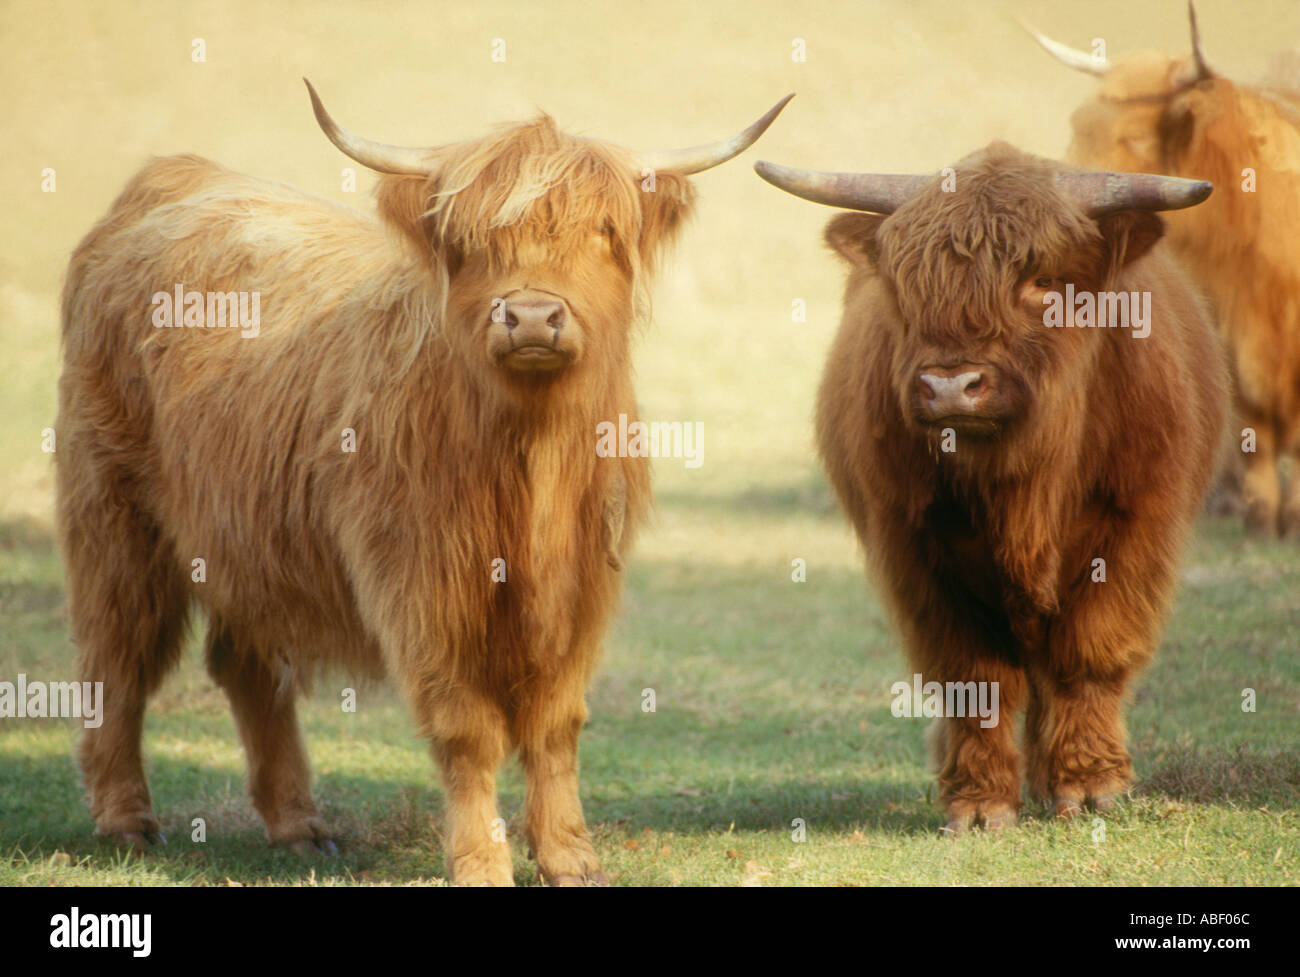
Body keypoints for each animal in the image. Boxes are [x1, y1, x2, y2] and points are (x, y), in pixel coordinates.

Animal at [58, 80, 790, 883]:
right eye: (470, 243)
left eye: (602, 229)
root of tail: (179, 178)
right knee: (116, 657)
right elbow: (467, 730)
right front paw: (481, 861)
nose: (531, 315)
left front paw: (571, 856)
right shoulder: (421, 585)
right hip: (114, 513)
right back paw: (126, 820)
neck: (529, 465)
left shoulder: (583, 588)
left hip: (246, 542)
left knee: (245, 666)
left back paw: (298, 826)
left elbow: (556, 724)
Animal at [759, 144, 1222, 831]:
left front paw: (1091, 786)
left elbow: (1089, 656)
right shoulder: (916, 554)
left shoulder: (1134, 531)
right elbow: (973, 678)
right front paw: (979, 804)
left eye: (1042, 281)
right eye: (909, 286)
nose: (950, 386)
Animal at [1029, 1, 1300, 535]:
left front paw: (1293, 518)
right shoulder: (1230, 340)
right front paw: (1261, 519)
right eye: (1081, 127)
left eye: (1134, 138)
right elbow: (1255, 433)